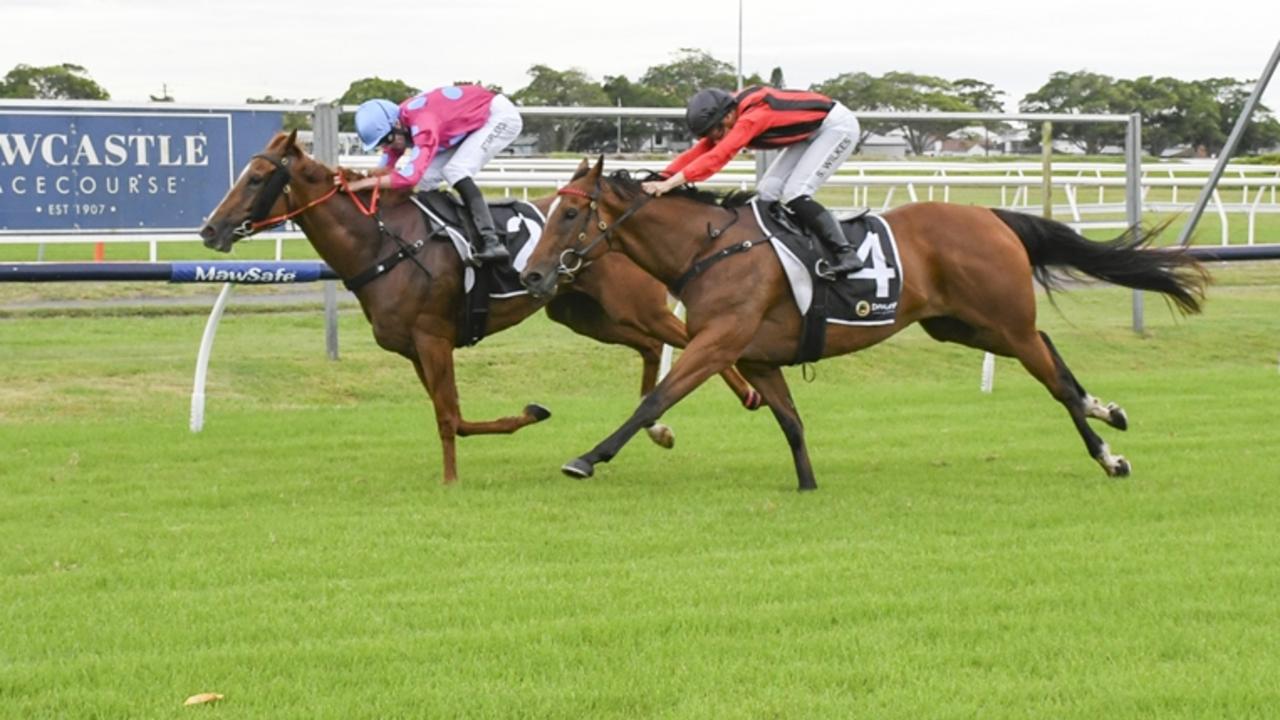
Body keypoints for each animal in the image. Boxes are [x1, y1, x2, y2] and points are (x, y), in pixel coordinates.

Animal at [199, 132, 757, 484]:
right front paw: (524, 418)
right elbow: (453, 416)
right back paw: (658, 428)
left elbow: (451, 417)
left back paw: (748, 394)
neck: (384, 243)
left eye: (255, 179)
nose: (210, 228)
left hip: (630, 306)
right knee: (652, 346)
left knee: (694, 343)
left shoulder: (432, 338)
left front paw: (452, 480)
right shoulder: (414, 349)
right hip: (587, 315)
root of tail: (619, 223)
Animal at [519, 159, 1208, 489]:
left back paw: (1109, 456)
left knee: (1055, 382)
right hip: (963, 325)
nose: (533, 273)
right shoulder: (758, 356)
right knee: (1048, 348)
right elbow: (791, 421)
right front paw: (807, 485)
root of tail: (991, 215)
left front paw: (587, 458)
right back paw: (1107, 410)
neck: (709, 247)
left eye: (570, 214)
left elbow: (656, 399)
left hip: (998, 321)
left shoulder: (718, 343)